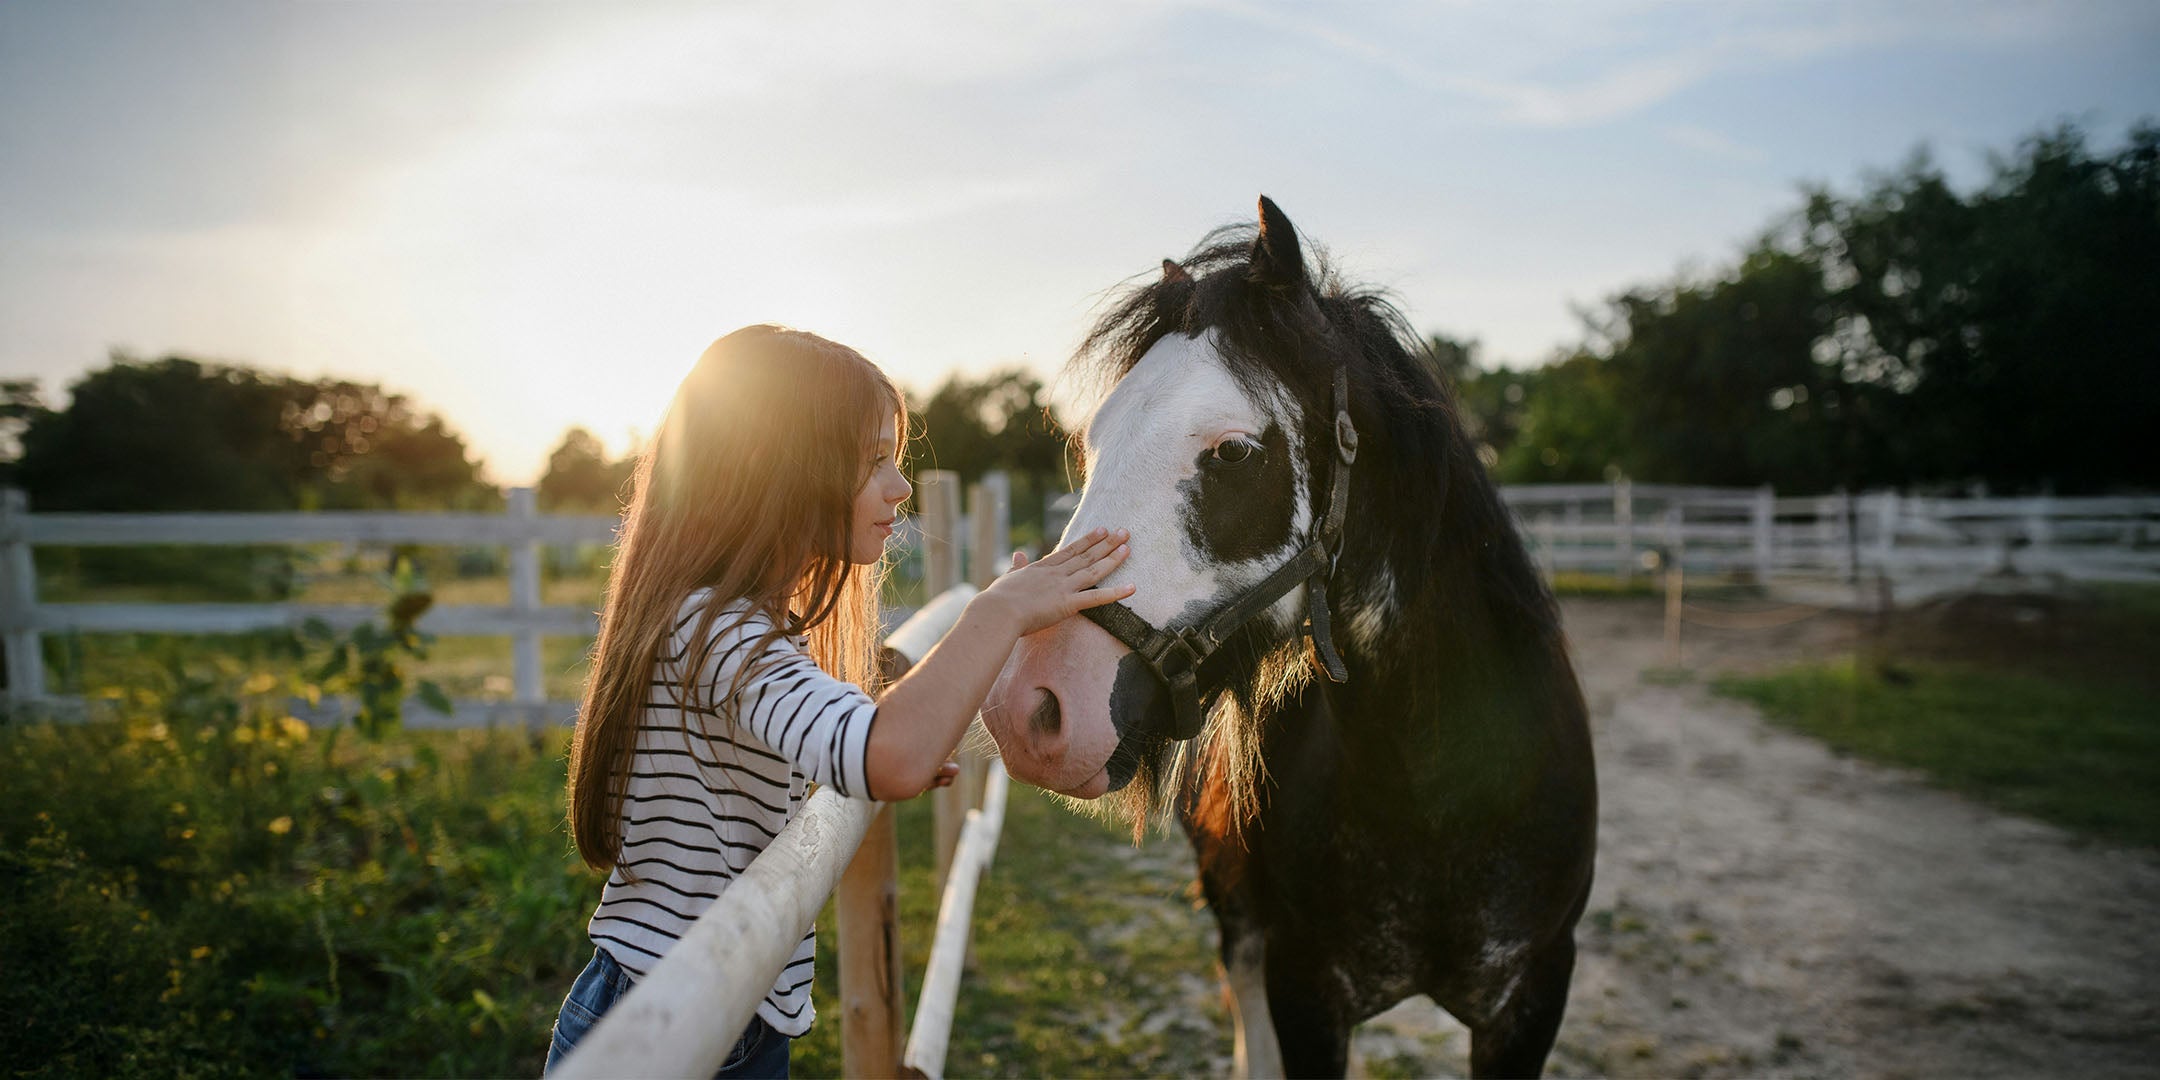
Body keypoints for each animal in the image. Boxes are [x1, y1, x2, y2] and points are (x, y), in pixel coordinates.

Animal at [977, 197, 1598, 1078]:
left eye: (1234, 452)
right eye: (1092, 443)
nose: (1033, 709)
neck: (1447, 789)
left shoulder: (1532, 997)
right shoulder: (1303, 988)